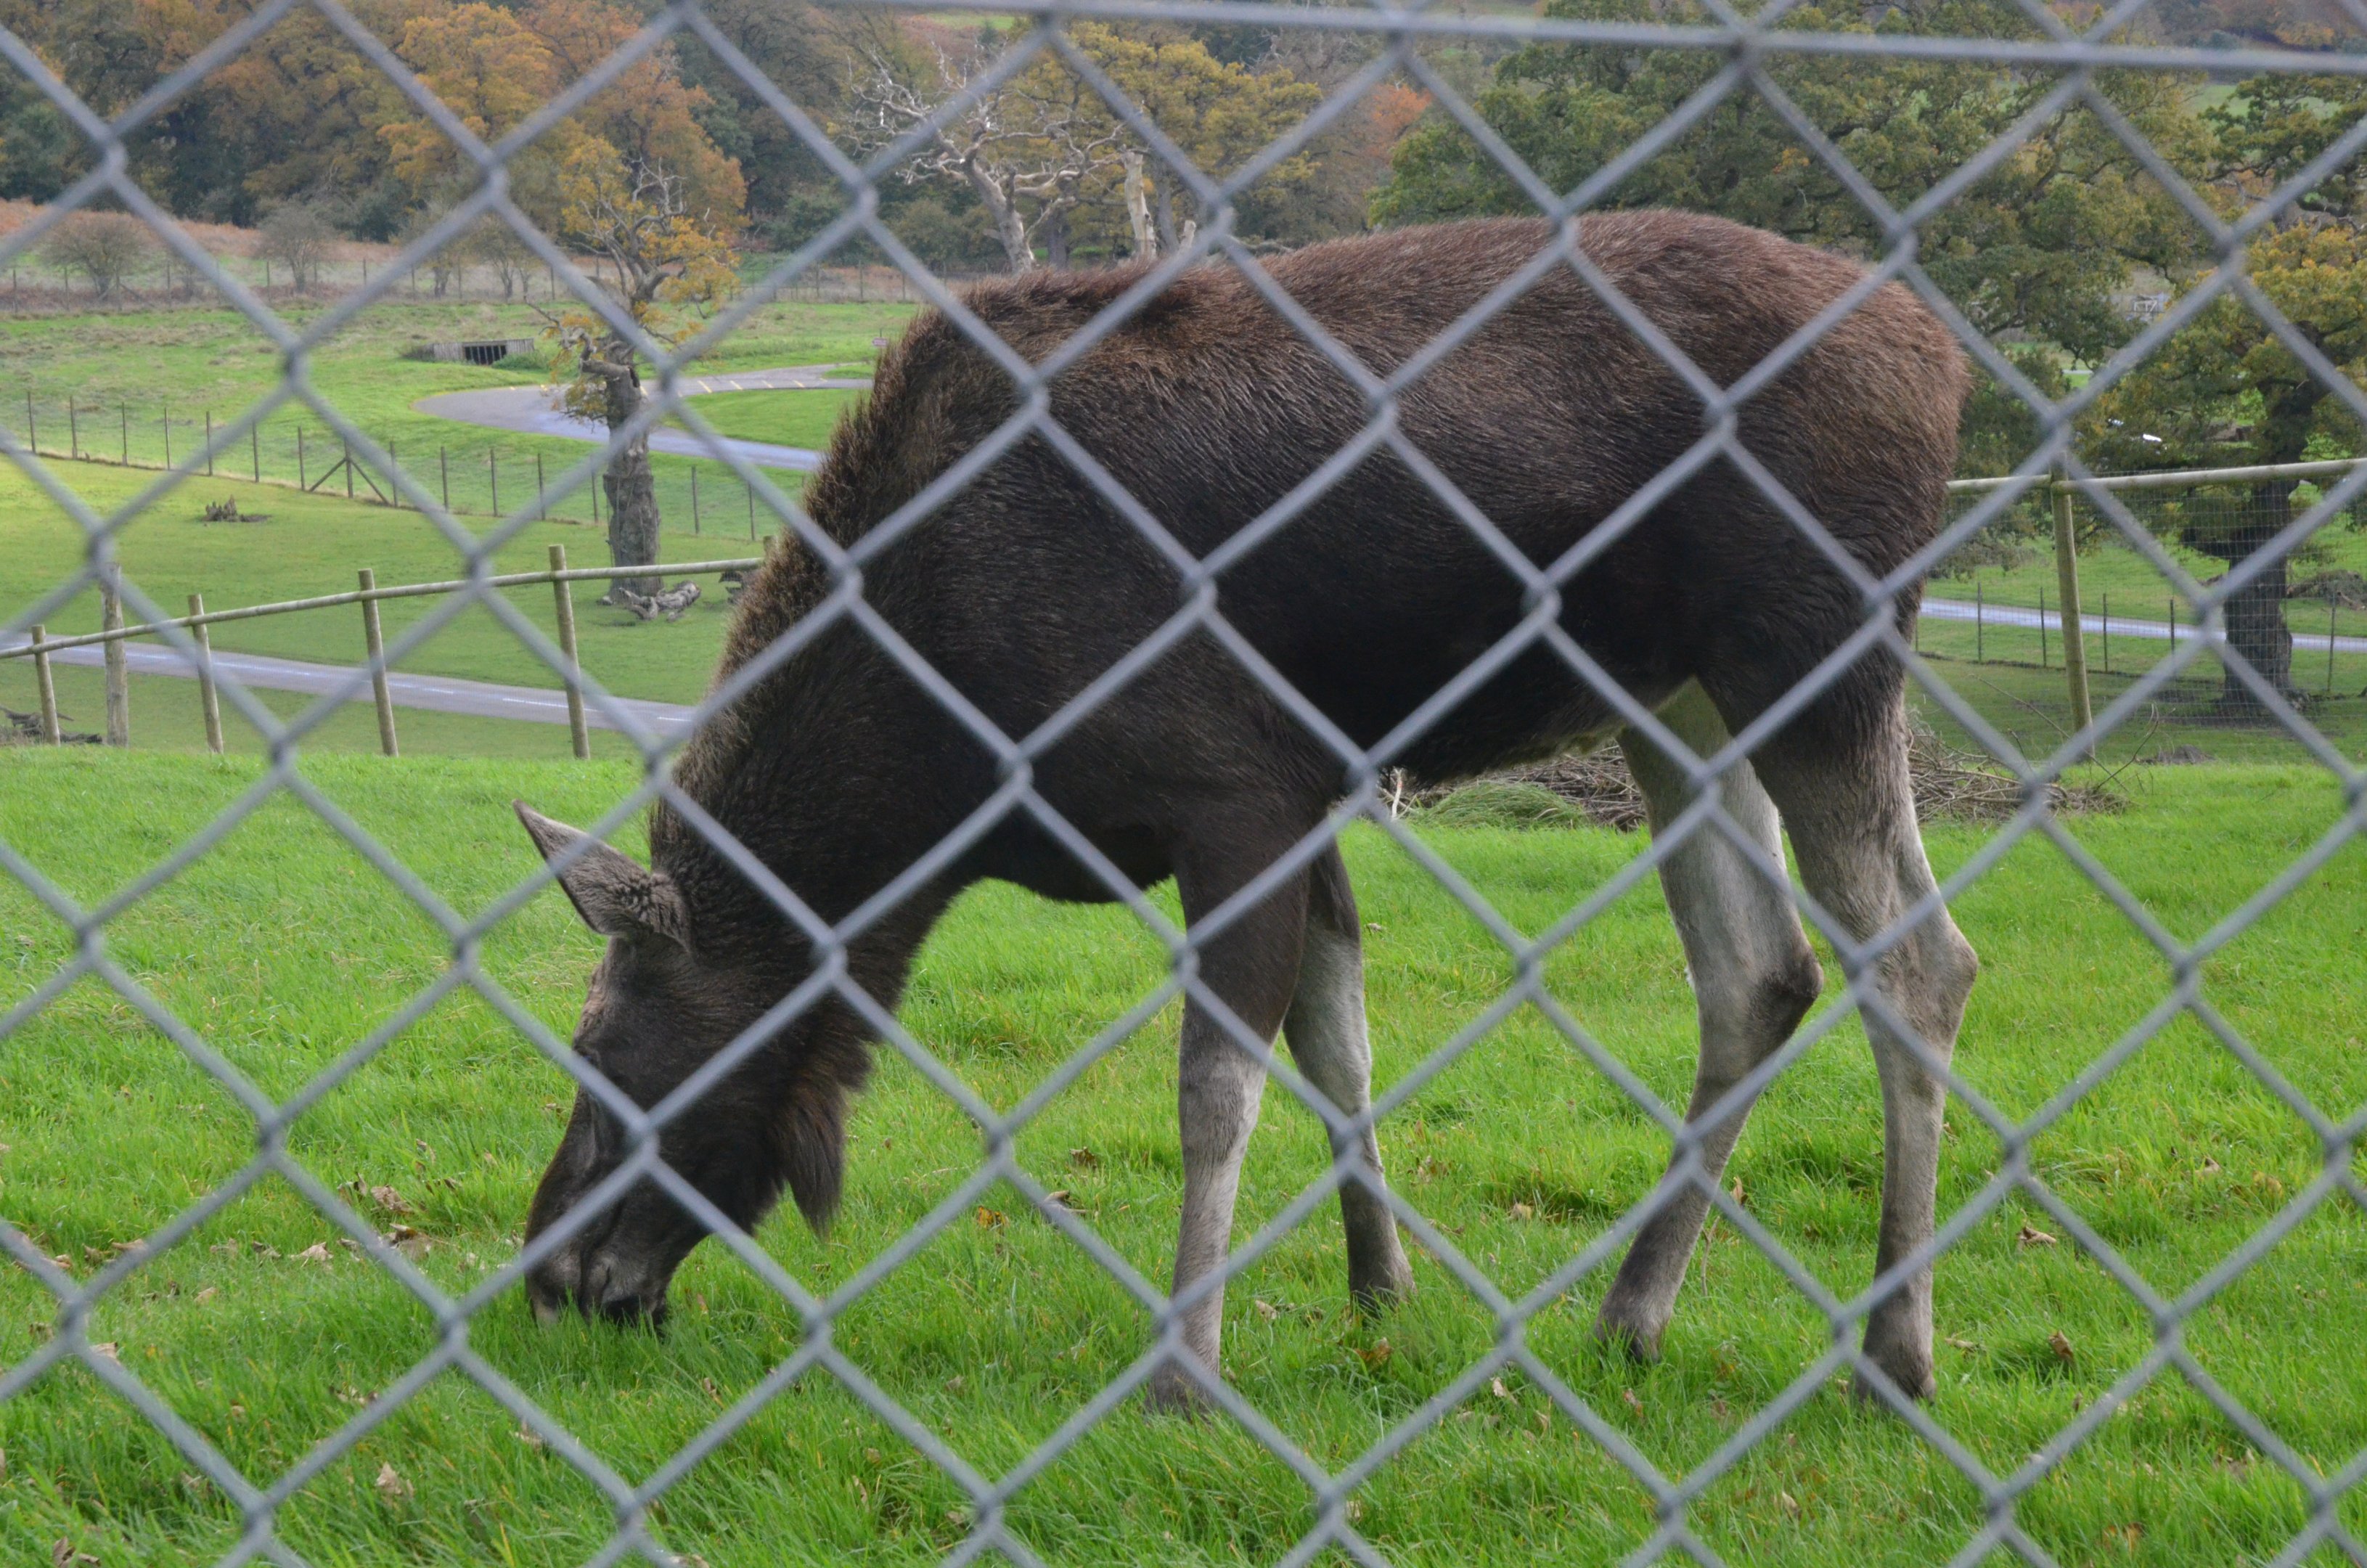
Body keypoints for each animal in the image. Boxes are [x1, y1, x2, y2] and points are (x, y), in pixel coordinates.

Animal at [511, 211, 1979, 1409]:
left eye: (605, 1057)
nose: (550, 1277)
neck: (939, 774)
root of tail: (1946, 355)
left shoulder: (1234, 794)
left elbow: (1216, 1090)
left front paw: (1187, 1367)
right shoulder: (1308, 791)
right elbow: (1339, 1041)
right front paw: (1377, 1286)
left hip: (1816, 651)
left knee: (1920, 959)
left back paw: (1894, 1354)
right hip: (1676, 700)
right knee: (1759, 973)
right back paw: (1632, 1314)